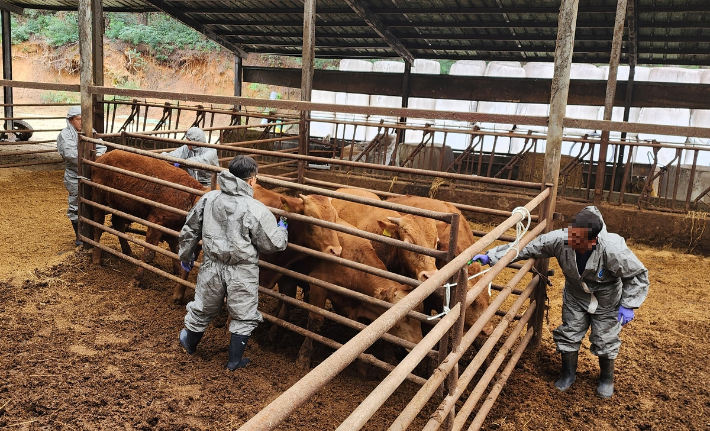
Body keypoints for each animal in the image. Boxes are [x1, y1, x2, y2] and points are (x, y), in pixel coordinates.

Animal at [90, 149, 207, 304]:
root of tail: (102, 157)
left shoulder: (171, 228)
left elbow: (174, 249)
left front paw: (176, 271)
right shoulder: (156, 222)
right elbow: (149, 254)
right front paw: (136, 280)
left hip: (121, 206)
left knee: (118, 224)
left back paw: (128, 251)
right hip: (99, 199)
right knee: (98, 226)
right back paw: (96, 258)